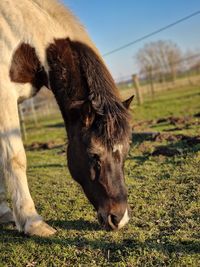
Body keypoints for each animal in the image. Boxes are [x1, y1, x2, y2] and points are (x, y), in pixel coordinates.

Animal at [0, 0, 134, 237]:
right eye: (94, 155)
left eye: (127, 150)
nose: (119, 218)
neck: (16, 35)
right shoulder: (4, 96)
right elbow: (15, 158)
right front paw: (32, 222)